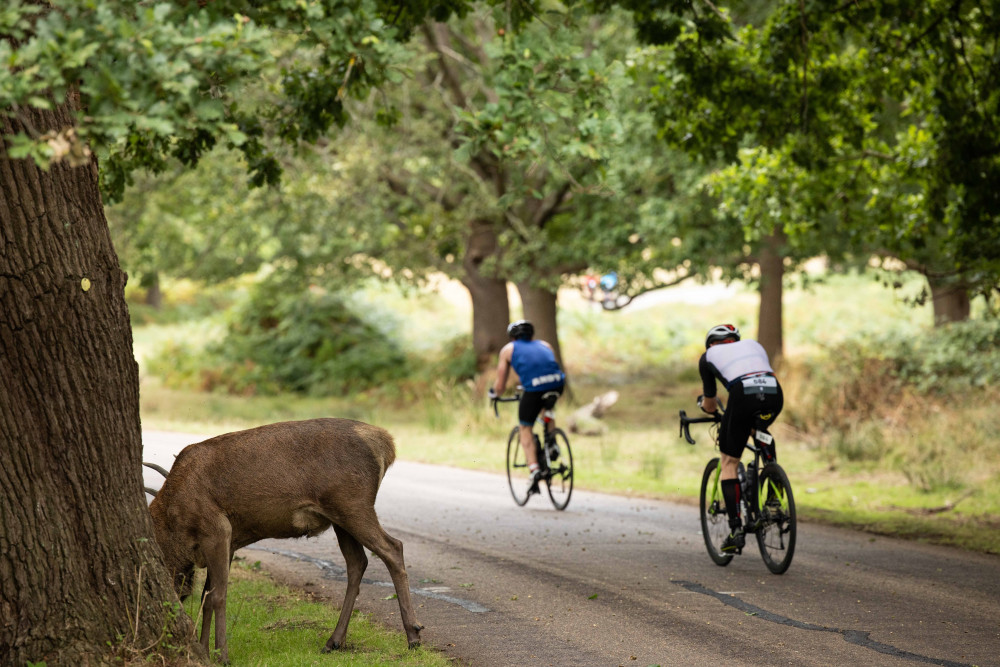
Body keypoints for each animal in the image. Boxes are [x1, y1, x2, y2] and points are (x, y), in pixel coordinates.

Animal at [146, 418, 422, 664]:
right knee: (358, 562)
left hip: (353, 504)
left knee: (393, 547)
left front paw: (222, 656)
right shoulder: (228, 542)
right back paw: (334, 641)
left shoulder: (217, 529)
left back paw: (413, 635)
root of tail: (386, 444)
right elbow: (206, 596)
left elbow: (217, 596)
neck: (174, 527)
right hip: (340, 517)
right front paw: (205, 650)